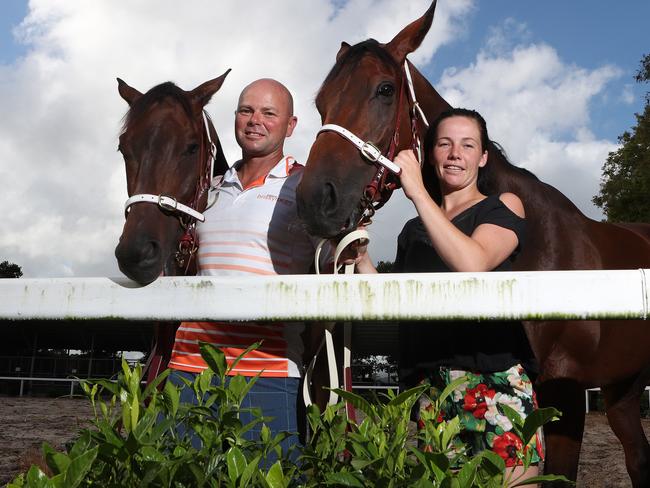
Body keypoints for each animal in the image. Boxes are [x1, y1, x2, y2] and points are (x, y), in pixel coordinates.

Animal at [296, 1, 648, 486]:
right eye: (320, 102)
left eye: (385, 89)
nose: (316, 201)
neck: (543, 254)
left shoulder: (566, 396)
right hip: (623, 387)